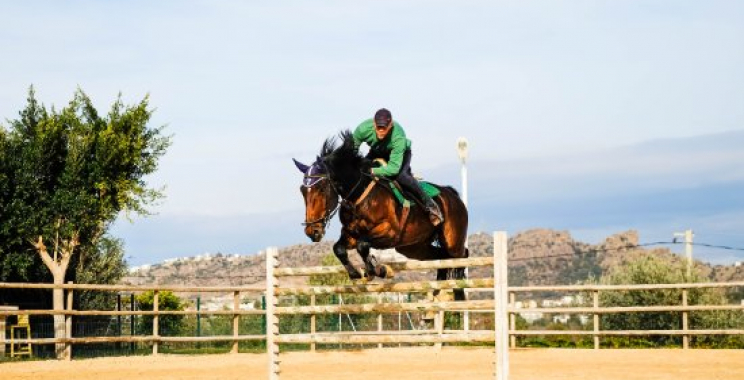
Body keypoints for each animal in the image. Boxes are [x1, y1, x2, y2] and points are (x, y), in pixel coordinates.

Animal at [292, 131, 470, 300]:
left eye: (322, 189)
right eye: (302, 191)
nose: (312, 231)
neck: (359, 194)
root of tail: (453, 194)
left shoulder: (389, 233)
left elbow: (363, 245)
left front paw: (379, 270)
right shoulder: (350, 234)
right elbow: (339, 249)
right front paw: (358, 273)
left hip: (452, 241)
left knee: (461, 257)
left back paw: (458, 295)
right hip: (414, 247)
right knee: (441, 258)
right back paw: (437, 293)